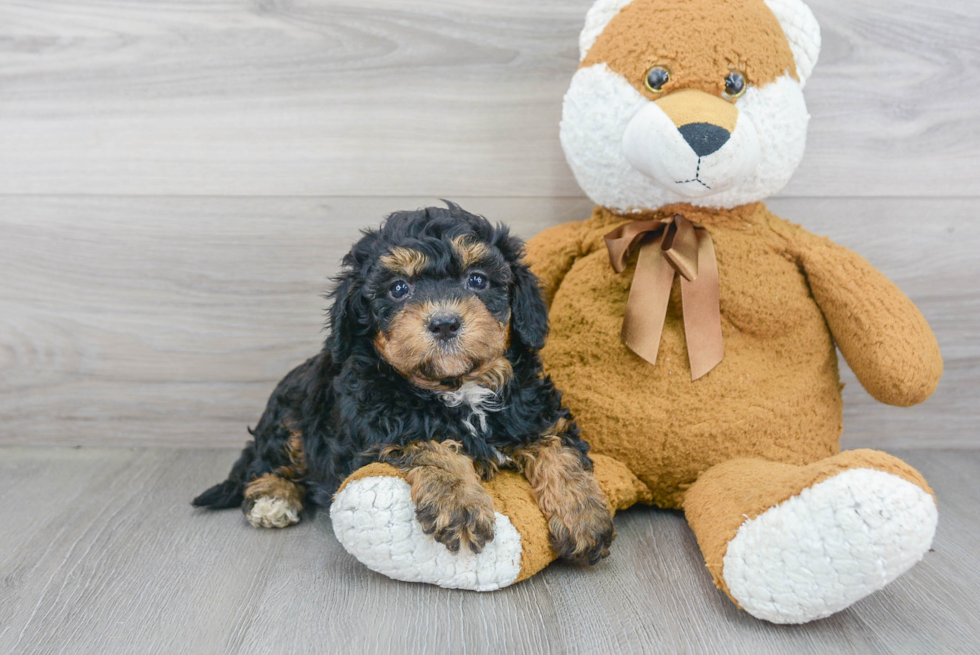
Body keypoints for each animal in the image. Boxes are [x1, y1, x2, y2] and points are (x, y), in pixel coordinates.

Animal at [193, 204, 612, 564]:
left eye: (477, 280)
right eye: (398, 288)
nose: (444, 323)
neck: (456, 387)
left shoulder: (534, 408)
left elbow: (558, 447)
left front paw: (584, 516)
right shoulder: (382, 427)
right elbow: (430, 444)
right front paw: (459, 504)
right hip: (293, 411)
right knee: (267, 461)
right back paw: (273, 497)